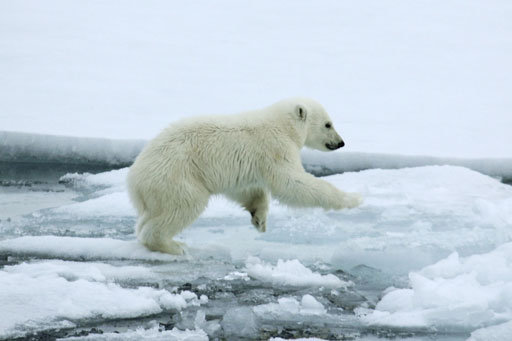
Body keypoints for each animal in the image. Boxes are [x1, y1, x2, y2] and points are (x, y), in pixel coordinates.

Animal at [126, 97, 362, 254]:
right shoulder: (275, 148)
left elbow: (246, 189)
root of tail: (134, 181)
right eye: (328, 124)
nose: (341, 142)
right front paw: (353, 199)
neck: (283, 125)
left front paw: (259, 219)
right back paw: (174, 246)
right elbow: (291, 183)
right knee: (184, 206)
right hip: (176, 176)